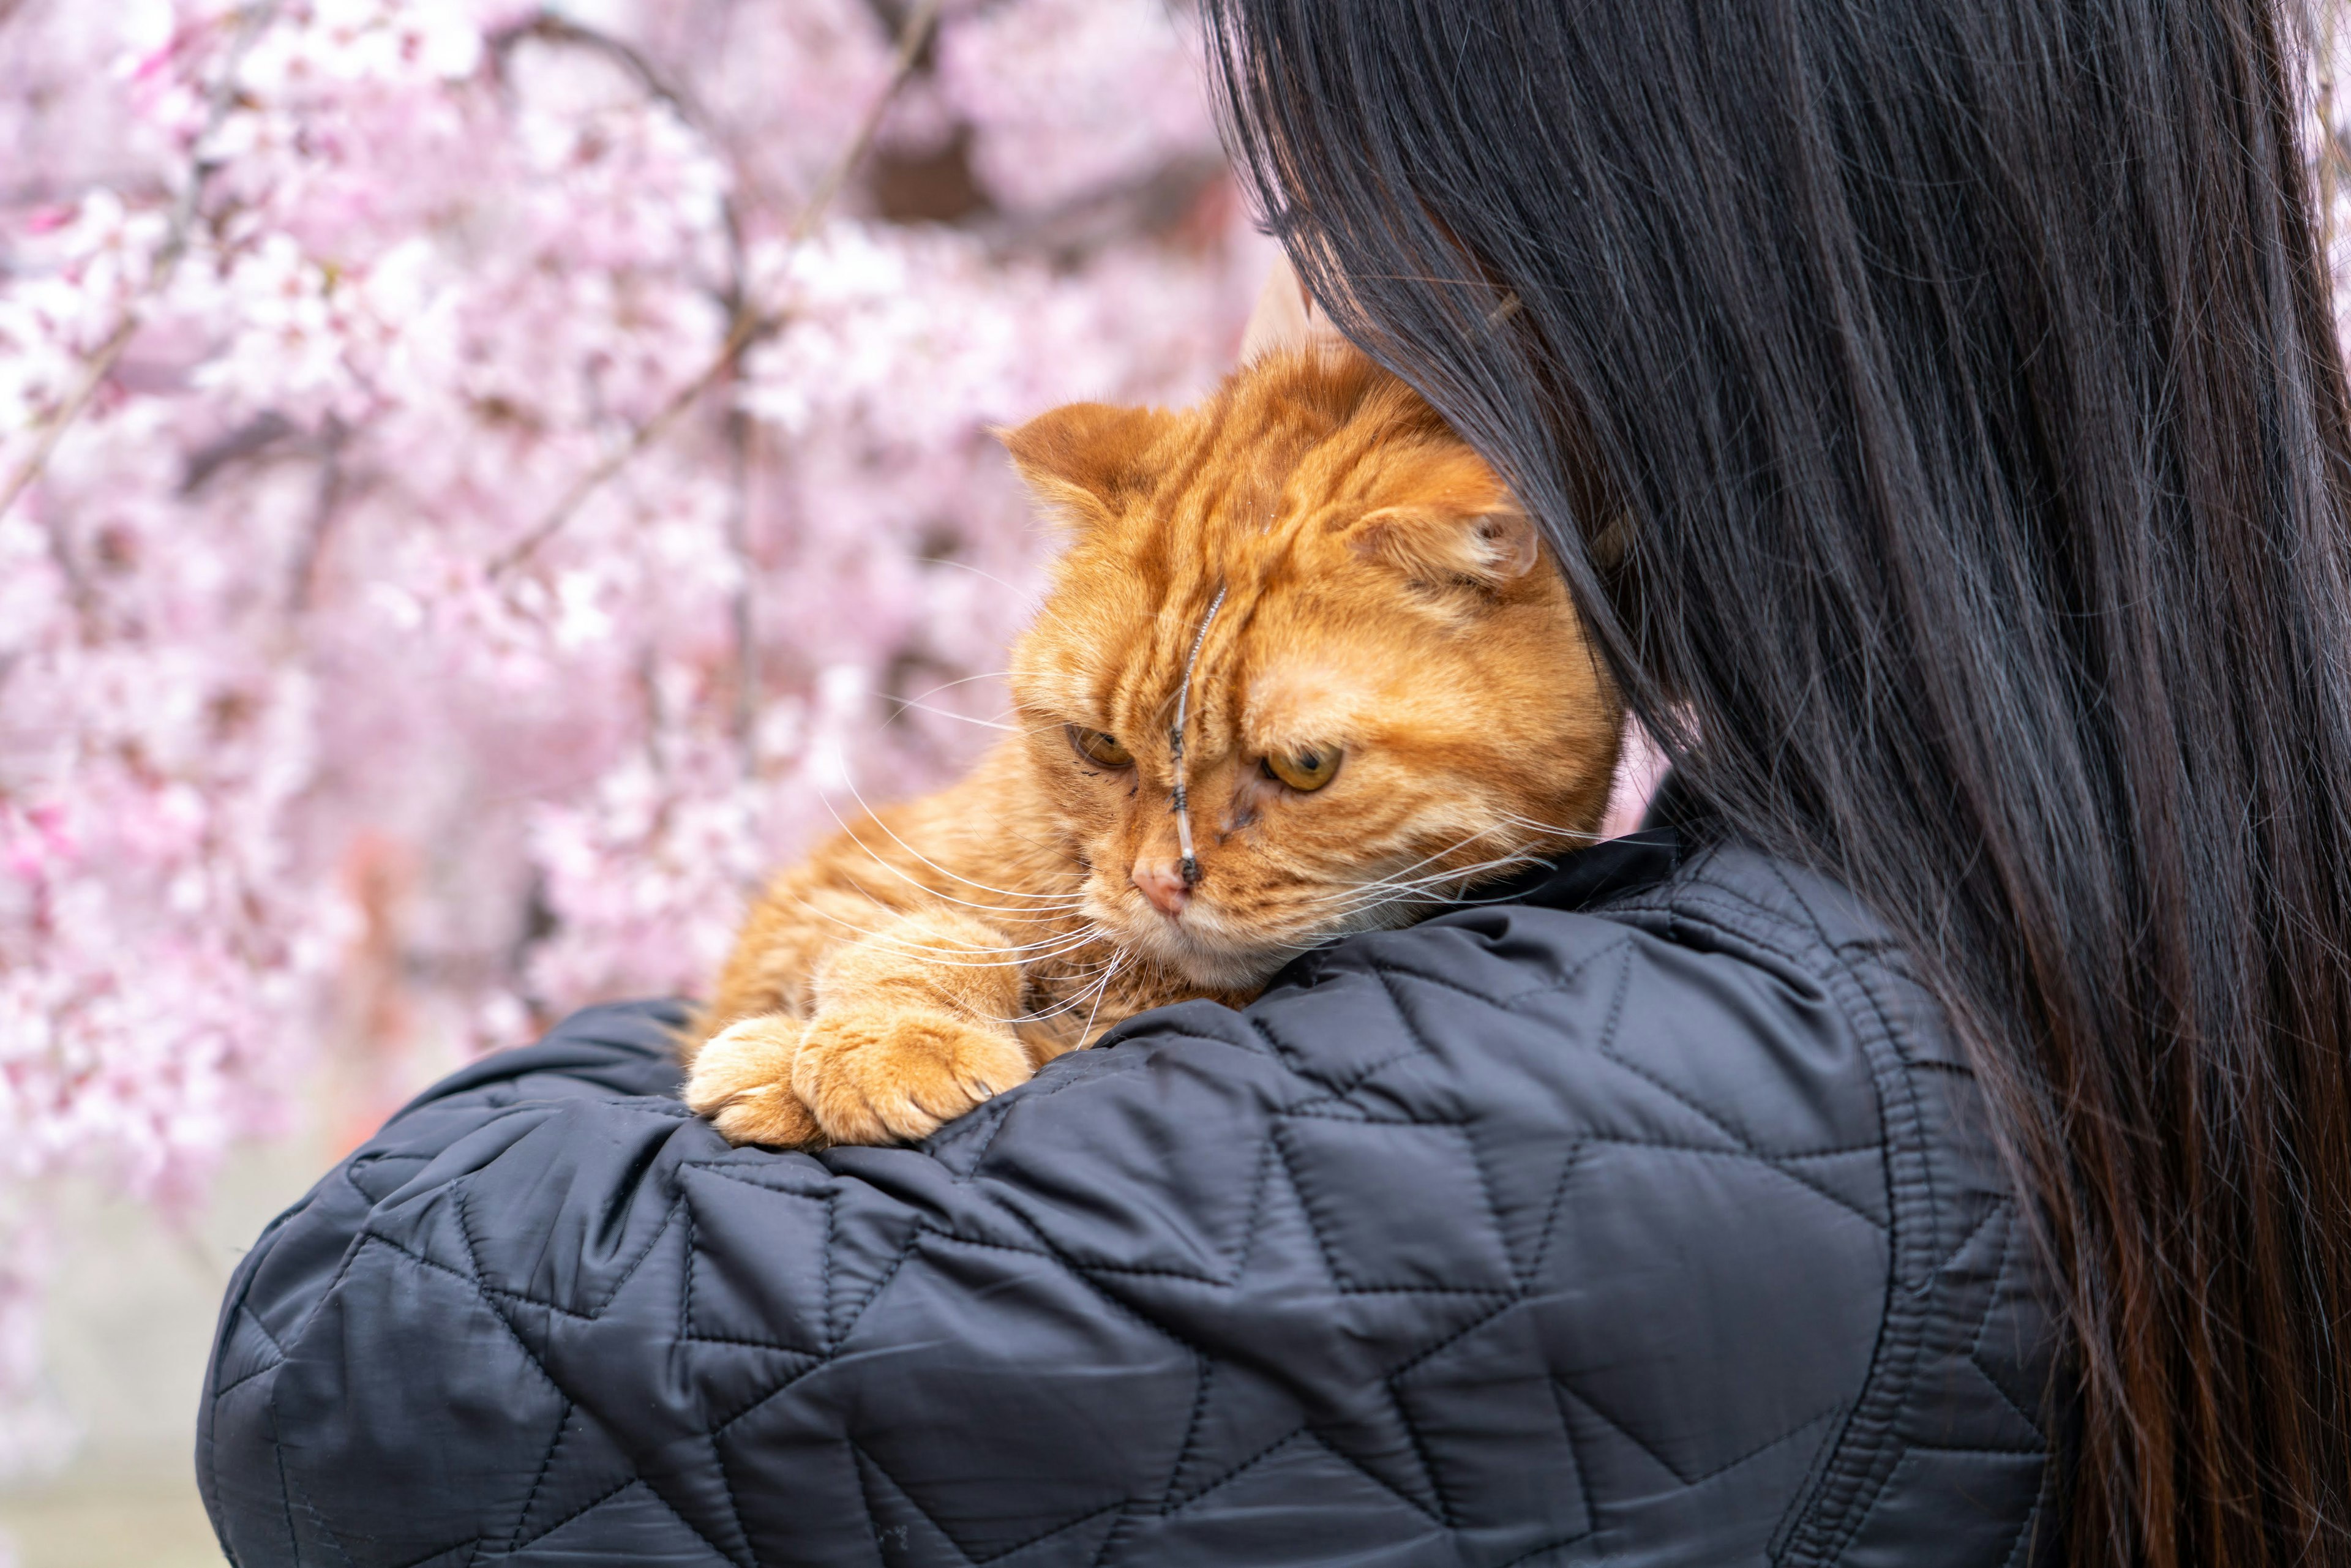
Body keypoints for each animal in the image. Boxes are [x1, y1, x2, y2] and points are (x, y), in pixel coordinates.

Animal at [681, 343, 1627, 1147]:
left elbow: (1057, 1039)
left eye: (1304, 767)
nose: (1158, 882)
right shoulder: (848, 874)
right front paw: (865, 1038)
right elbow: (915, 932)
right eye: (1100, 748)